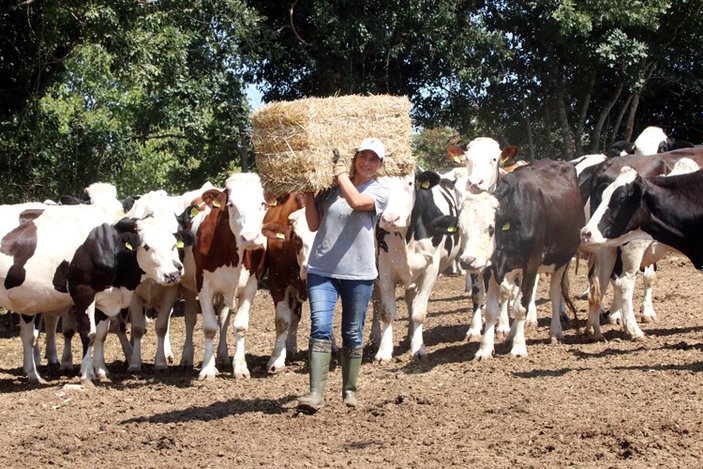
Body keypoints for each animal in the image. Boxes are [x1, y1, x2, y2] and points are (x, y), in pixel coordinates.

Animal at [192, 173, 270, 380]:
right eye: (231, 204)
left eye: (262, 203)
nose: (250, 238)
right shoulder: (203, 285)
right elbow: (209, 327)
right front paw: (207, 369)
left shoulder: (251, 286)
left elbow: (240, 326)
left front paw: (240, 367)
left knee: (224, 318)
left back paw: (222, 355)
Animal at [372, 170, 464, 360]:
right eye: (379, 184)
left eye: (409, 183)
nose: (389, 219)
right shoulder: (384, 268)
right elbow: (387, 311)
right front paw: (384, 350)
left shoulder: (430, 269)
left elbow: (419, 312)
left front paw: (418, 348)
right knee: (376, 302)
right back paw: (376, 339)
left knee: (410, 301)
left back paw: (410, 337)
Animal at [456, 158, 584, 358]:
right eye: (461, 228)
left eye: (491, 228)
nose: (467, 261)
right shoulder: (491, 268)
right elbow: (492, 310)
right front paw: (485, 349)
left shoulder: (531, 264)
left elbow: (521, 307)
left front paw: (518, 347)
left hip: (562, 260)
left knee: (554, 293)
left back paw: (555, 331)